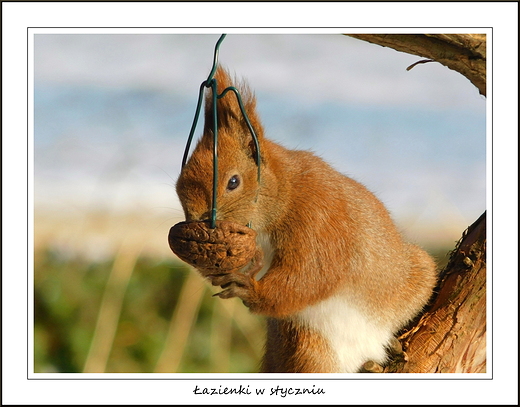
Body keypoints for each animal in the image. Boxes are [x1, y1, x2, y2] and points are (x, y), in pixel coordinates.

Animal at [177, 67, 436, 372]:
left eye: (233, 182)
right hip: (308, 350)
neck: (285, 192)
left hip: (412, 278)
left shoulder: (318, 219)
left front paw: (251, 289)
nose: (196, 220)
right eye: (180, 183)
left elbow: (311, 276)